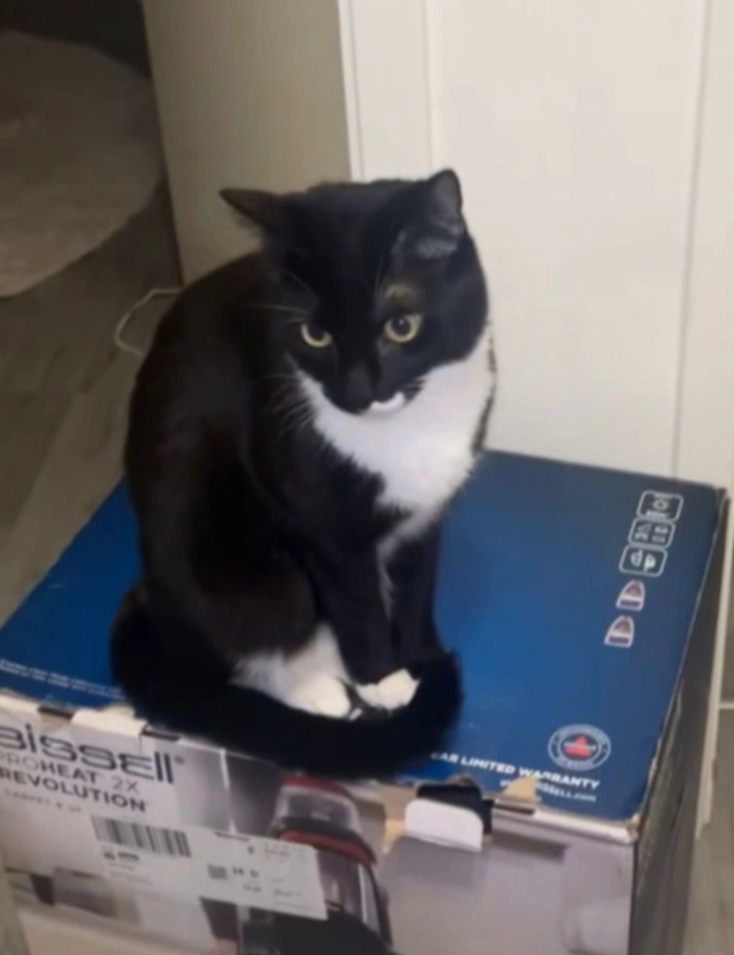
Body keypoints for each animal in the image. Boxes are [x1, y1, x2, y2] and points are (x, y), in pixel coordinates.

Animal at [111, 169, 495, 779]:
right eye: (315, 335)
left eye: (401, 325)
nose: (358, 391)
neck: (408, 428)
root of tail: (152, 601)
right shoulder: (323, 527)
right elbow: (358, 604)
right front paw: (384, 680)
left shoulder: (426, 516)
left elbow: (415, 590)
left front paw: (422, 659)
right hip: (239, 568)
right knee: (252, 638)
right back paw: (318, 689)